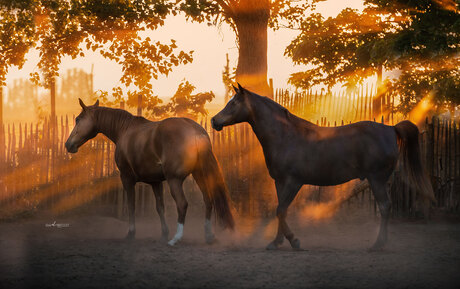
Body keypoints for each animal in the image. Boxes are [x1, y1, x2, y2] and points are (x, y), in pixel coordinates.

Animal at [64, 98, 234, 244]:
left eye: (78, 119)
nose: (68, 144)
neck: (124, 130)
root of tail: (194, 131)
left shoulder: (126, 178)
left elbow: (131, 205)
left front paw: (131, 233)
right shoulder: (155, 182)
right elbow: (160, 208)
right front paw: (164, 233)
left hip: (175, 180)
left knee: (182, 204)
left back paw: (176, 238)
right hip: (199, 175)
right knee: (208, 200)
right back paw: (209, 235)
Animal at [212, 84, 434, 250]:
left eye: (234, 103)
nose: (214, 120)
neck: (285, 136)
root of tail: (391, 128)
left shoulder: (294, 182)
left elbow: (281, 210)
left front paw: (294, 241)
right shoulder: (280, 182)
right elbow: (280, 210)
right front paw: (276, 242)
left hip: (376, 179)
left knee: (385, 207)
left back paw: (378, 244)